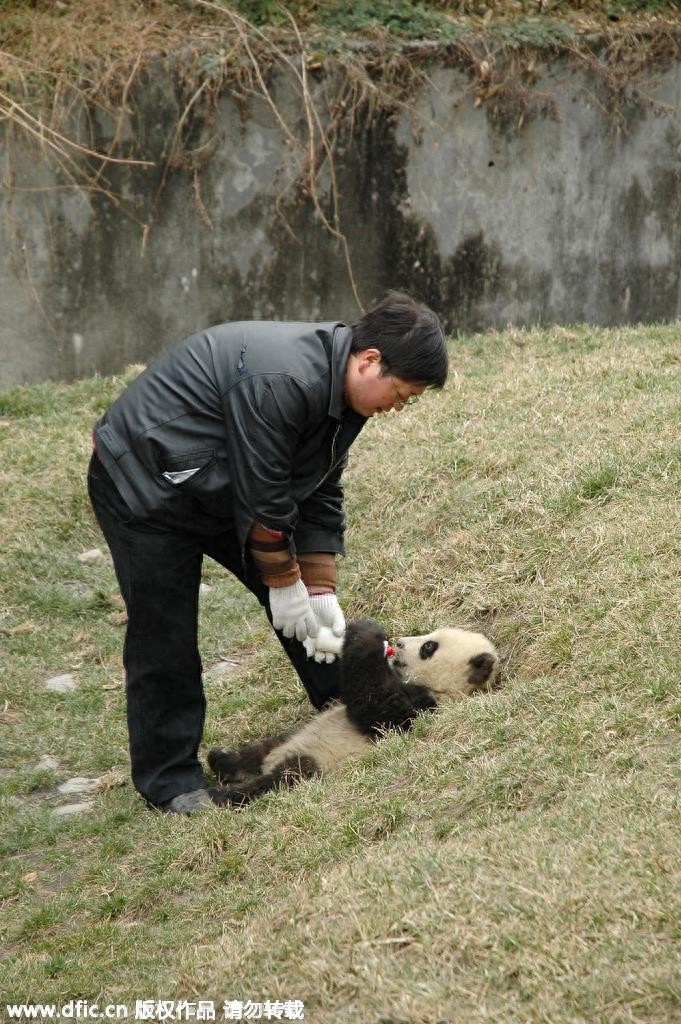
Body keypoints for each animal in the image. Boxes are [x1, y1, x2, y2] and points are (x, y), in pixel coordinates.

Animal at [206, 617, 500, 807]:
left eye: (429, 647)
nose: (398, 643)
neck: (440, 690)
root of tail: (271, 761)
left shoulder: (418, 710)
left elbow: (373, 706)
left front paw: (366, 633)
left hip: (315, 762)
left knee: (283, 778)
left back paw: (218, 795)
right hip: (290, 738)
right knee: (260, 750)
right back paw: (221, 760)